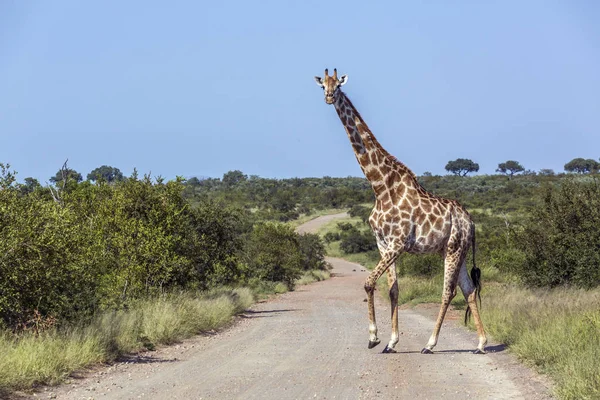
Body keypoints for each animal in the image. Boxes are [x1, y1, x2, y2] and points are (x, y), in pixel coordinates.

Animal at [314, 68, 488, 354]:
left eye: (338, 85)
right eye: (322, 85)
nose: (329, 97)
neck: (380, 185)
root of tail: (471, 222)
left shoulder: (397, 243)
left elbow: (369, 282)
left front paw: (374, 337)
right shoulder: (383, 243)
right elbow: (393, 290)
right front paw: (391, 342)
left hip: (453, 248)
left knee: (448, 291)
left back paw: (430, 344)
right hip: (457, 251)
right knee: (469, 289)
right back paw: (482, 343)